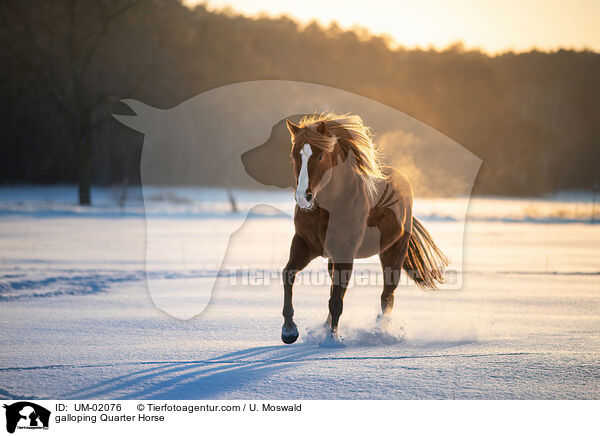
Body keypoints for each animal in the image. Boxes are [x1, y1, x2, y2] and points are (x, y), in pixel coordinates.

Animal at [280, 114, 446, 346]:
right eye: (294, 155)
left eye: (320, 156)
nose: (304, 197)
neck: (327, 209)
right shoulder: (304, 244)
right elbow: (288, 275)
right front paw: (289, 331)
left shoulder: (345, 253)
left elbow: (336, 301)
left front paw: (331, 340)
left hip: (393, 253)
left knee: (387, 297)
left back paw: (380, 332)